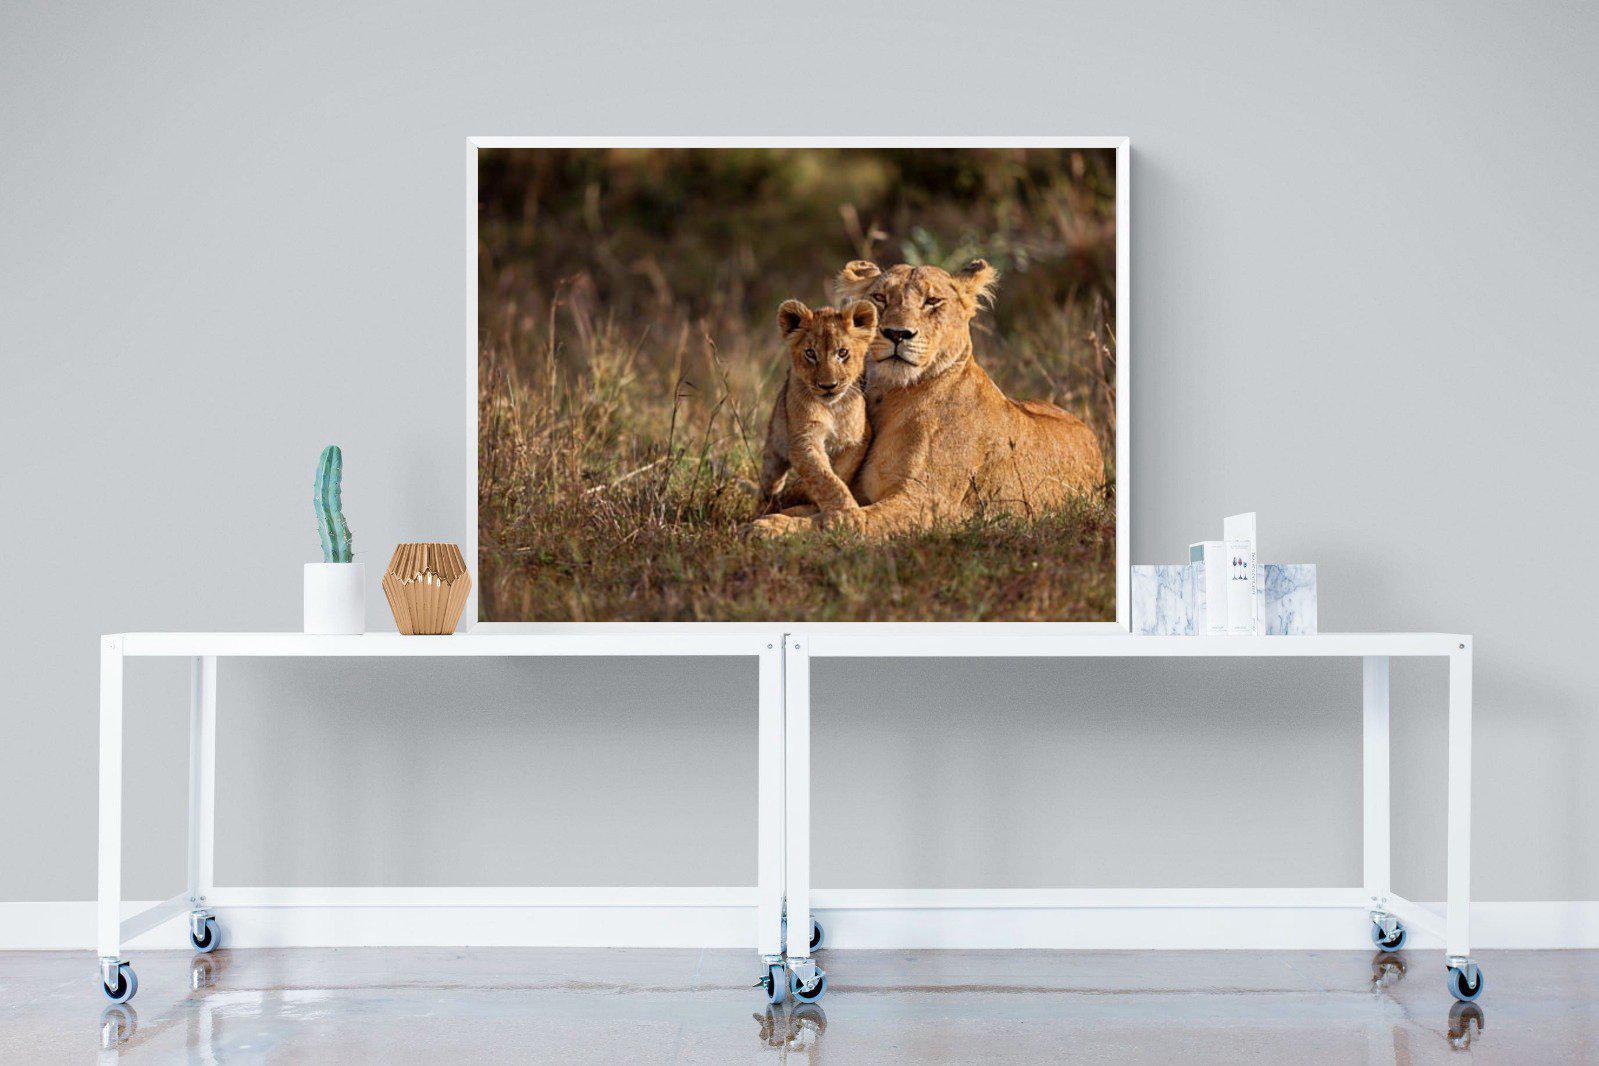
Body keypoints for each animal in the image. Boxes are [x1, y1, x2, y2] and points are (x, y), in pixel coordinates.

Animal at [758, 298, 876, 515]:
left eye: (842, 352)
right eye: (810, 353)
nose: (828, 386)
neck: (832, 409)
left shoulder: (859, 438)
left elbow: (839, 472)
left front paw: (803, 492)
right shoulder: (804, 439)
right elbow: (824, 478)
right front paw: (847, 513)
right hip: (774, 448)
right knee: (769, 484)